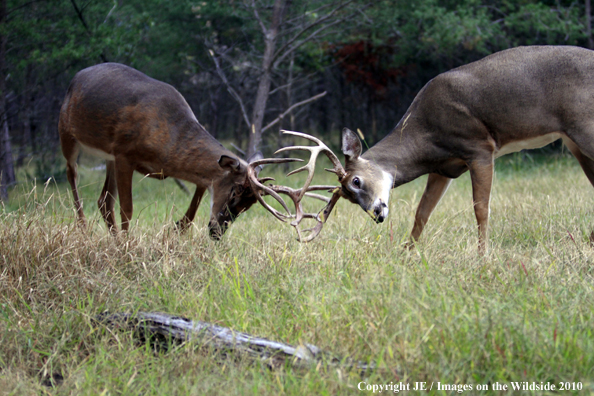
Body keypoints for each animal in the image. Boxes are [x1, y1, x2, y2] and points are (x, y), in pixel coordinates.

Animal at [59, 63, 310, 237]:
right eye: (235, 191)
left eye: (250, 205)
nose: (217, 232)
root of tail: (76, 78)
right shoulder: (124, 153)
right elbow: (127, 209)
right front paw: (129, 246)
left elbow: (200, 190)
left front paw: (177, 228)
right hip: (67, 134)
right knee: (73, 175)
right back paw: (84, 227)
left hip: (107, 156)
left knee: (103, 201)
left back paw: (113, 240)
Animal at [276, 44, 594, 252]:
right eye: (349, 198)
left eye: (356, 180)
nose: (377, 213)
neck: (425, 135)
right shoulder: (445, 168)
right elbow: (422, 212)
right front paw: (407, 253)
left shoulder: (478, 147)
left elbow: (481, 209)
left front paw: (483, 257)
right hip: (574, 141)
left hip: (584, 127)